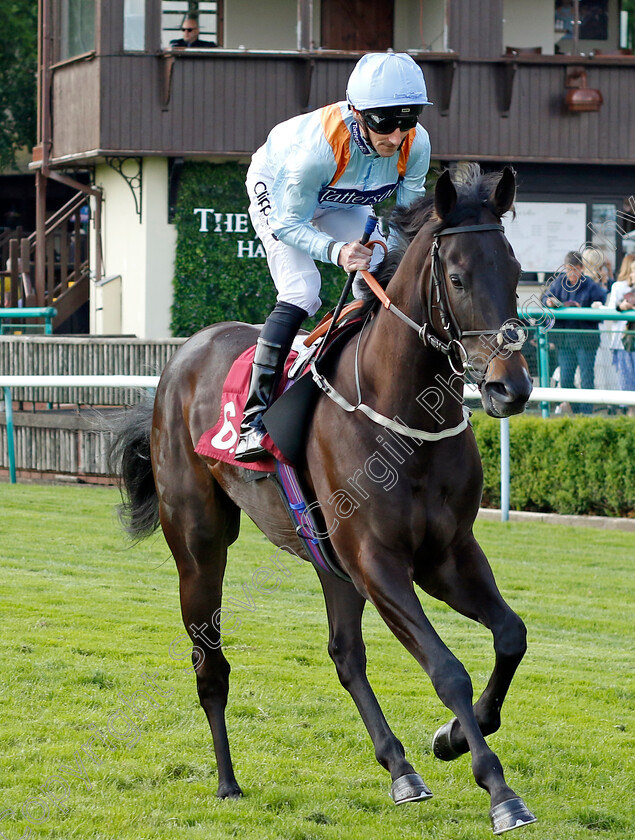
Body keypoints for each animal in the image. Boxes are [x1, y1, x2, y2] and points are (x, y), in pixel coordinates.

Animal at [110, 166, 536, 832]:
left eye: (517, 271)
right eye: (458, 278)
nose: (508, 387)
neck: (402, 415)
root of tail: (186, 351)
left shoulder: (446, 554)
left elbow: (510, 636)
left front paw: (449, 740)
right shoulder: (379, 561)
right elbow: (447, 669)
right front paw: (499, 791)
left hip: (330, 560)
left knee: (345, 654)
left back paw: (401, 769)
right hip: (201, 545)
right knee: (210, 663)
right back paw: (227, 781)